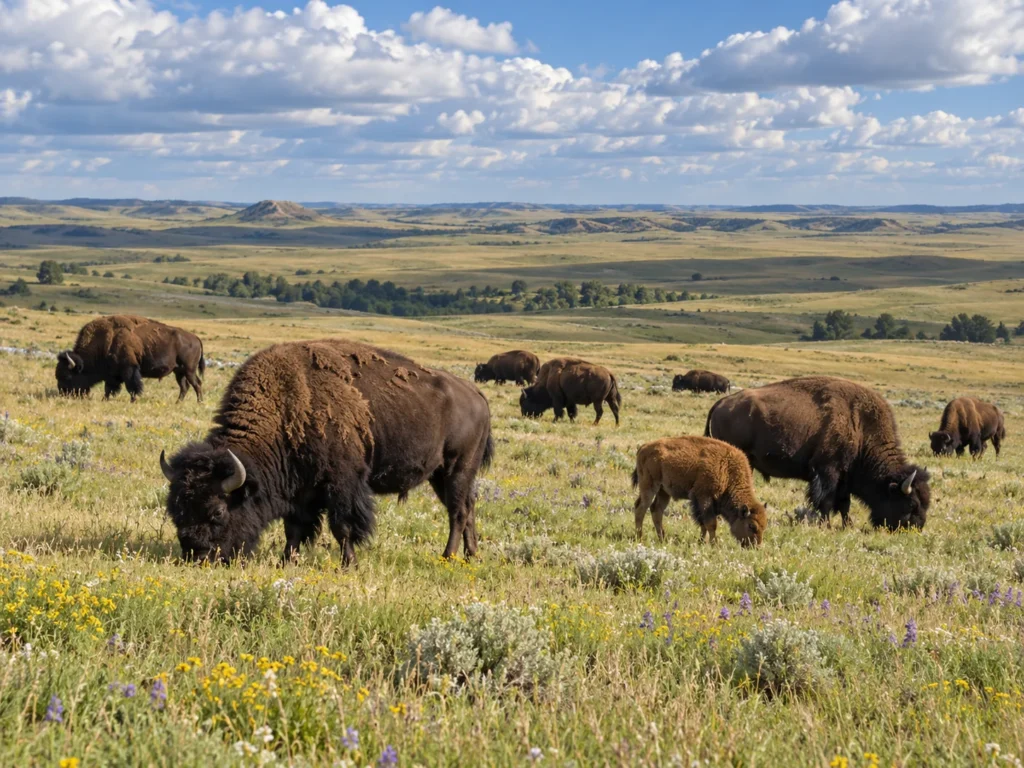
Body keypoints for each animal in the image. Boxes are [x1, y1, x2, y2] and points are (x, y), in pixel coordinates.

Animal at [57, 315, 205, 403]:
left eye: (67, 376)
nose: (62, 393)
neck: (105, 340)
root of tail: (195, 338)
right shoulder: (112, 374)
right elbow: (109, 388)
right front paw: (105, 399)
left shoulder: (129, 369)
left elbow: (132, 387)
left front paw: (132, 400)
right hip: (179, 371)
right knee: (185, 386)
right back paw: (178, 402)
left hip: (189, 370)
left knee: (197, 384)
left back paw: (199, 402)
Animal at [159, 339, 493, 565]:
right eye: (174, 509)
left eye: (217, 511)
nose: (197, 556)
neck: (288, 404)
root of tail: (476, 394)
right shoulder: (300, 490)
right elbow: (294, 528)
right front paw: (287, 561)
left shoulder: (341, 484)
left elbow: (341, 526)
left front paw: (349, 564)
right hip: (441, 476)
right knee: (468, 507)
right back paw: (471, 555)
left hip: (457, 469)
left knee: (458, 512)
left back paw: (448, 556)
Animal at [632, 436, 766, 547]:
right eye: (752, 526)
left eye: (764, 526)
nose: (756, 547)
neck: (728, 470)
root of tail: (643, 447)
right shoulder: (704, 498)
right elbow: (711, 524)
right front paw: (713, 544)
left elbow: (703, 524)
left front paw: (701, 542)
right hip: (649, 487)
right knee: (641, 509)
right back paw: (640, 538)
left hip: (663, 492)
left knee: (656, 510)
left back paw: (662, 539)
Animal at [705, 376, 930, 531]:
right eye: (911, 504)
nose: (916, 528)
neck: (860, 426)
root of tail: (721, 403)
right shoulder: (828, 471)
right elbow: (827, 501)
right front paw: (826, 525)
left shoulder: (844, 478)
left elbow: (844, 504)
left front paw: (847, 526)